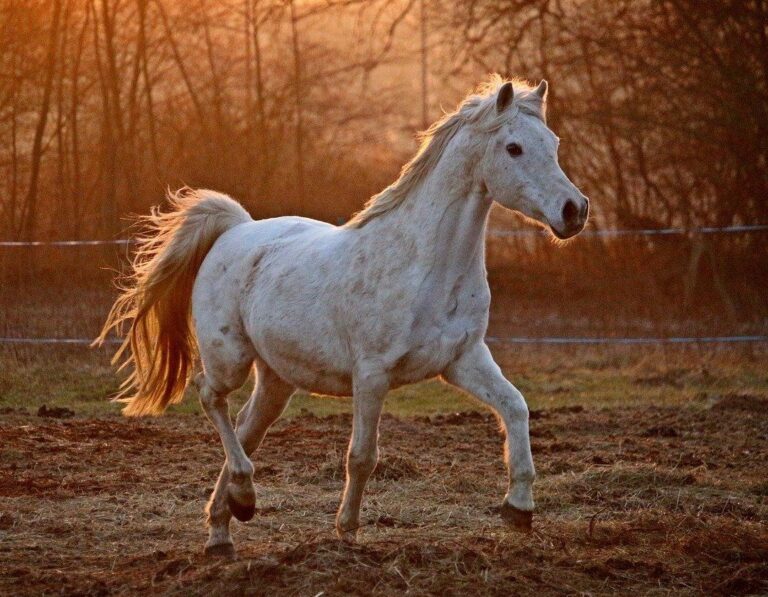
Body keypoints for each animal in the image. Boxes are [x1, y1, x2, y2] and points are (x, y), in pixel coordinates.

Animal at [97, 75, 589, 558]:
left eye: (552, 142)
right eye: (513, 148)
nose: (574, 211)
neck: (422, 265)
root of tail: (236, 229)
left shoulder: (463, 359)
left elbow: (516, 407)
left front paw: (519, 509)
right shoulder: (372, 374)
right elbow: (362, 455)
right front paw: (347, 531)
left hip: (276, 378)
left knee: (245, 426)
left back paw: (225, 526)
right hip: (229, 357)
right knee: (209, 396)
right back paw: (243, 496)